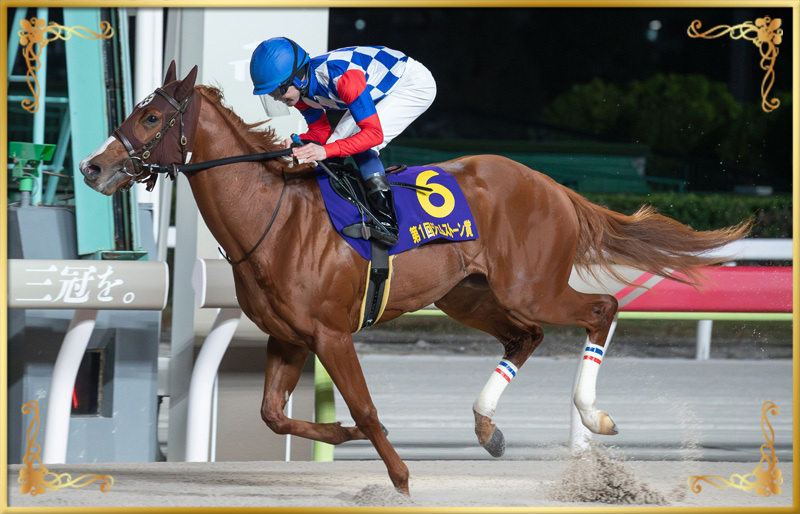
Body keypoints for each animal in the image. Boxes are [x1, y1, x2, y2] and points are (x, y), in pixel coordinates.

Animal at [79, 62, 751, 495]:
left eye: (151, 117)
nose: (92, 167)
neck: (274, 217)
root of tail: (553, 186)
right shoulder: (287, 336)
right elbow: (275, 415)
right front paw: (344, 432)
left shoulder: (331, 335)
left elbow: (367, 406)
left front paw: (400, 477)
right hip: (467, 295)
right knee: (525, 336)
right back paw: (487, 427)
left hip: (531, 285)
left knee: (601, 308)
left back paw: (594, 416)